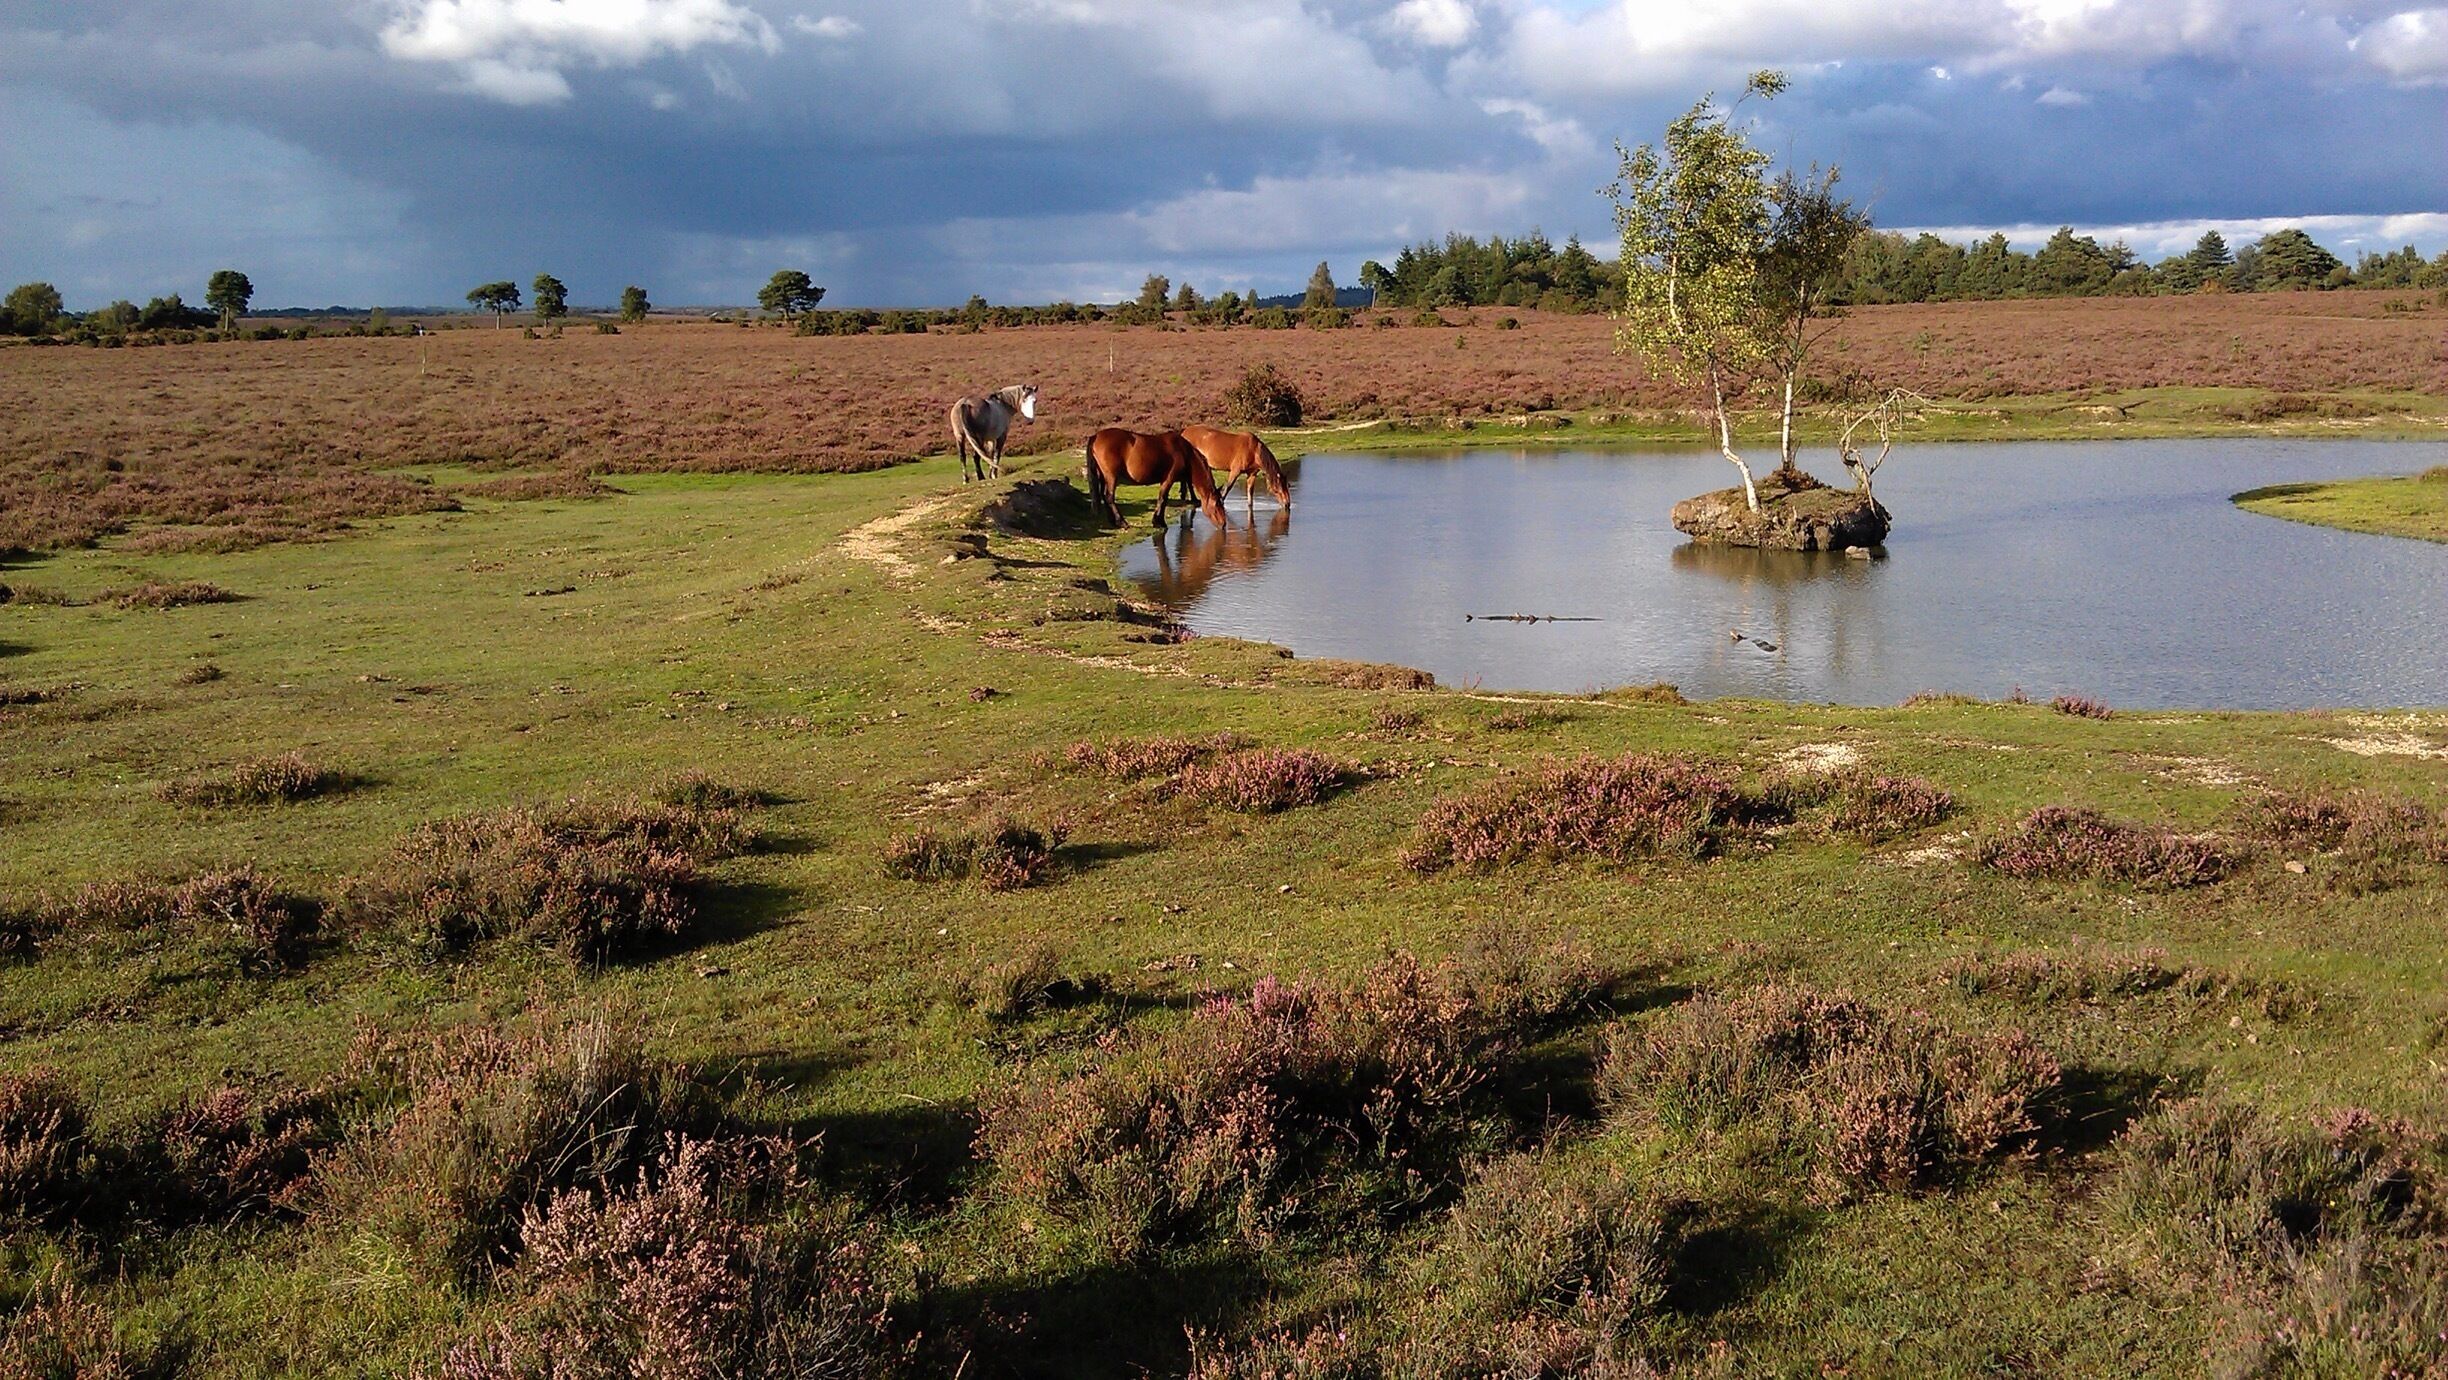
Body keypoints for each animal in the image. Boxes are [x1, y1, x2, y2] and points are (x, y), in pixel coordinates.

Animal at [1083, 428, 1226, 528]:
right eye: (1217, 504)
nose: (1223, 524)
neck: (1184, 452)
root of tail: (1096, 436)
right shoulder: (1169, 479)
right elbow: (1163, 498)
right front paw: (1159, 522)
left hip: (1102, 476)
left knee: (1103, 496)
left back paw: (1113, 521)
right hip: (1111, 476)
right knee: (1109, 496)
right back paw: (1122, 522)